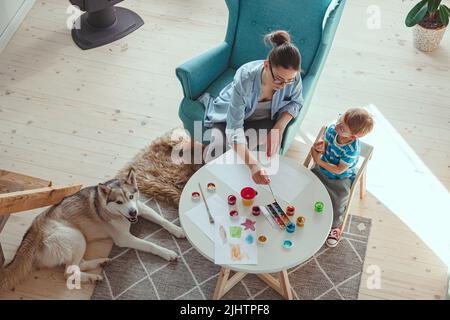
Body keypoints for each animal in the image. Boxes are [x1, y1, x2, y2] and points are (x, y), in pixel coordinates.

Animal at [0, 170, 184, 290]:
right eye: (119, 202)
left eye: (131, 197)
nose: (132, 213)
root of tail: (33, 231)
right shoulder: (125, 238)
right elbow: (150, 245)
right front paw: (167, 252)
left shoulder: (141, 207)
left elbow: (162, 219)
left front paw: (178, 229)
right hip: (76, 236)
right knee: (68, 272)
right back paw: (94, 277)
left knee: (78, 265)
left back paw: (100, 263)